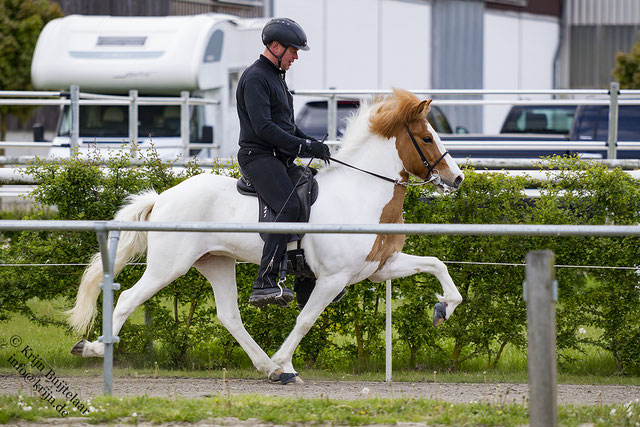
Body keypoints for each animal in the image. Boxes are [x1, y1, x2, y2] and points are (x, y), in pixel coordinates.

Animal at [66, 88, 464, 384]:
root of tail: (163, 197)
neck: (362, 192)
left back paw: (265, 366)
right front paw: (285, 362)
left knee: (229, 315)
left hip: (215, 262)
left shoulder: (381, 267)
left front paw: (443, 309)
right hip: (169, 266)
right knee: (128, 298)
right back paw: (94, 348)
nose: (457, 178)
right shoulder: (333, 279)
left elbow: (437, 265)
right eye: (426, 137)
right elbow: (306, 320)